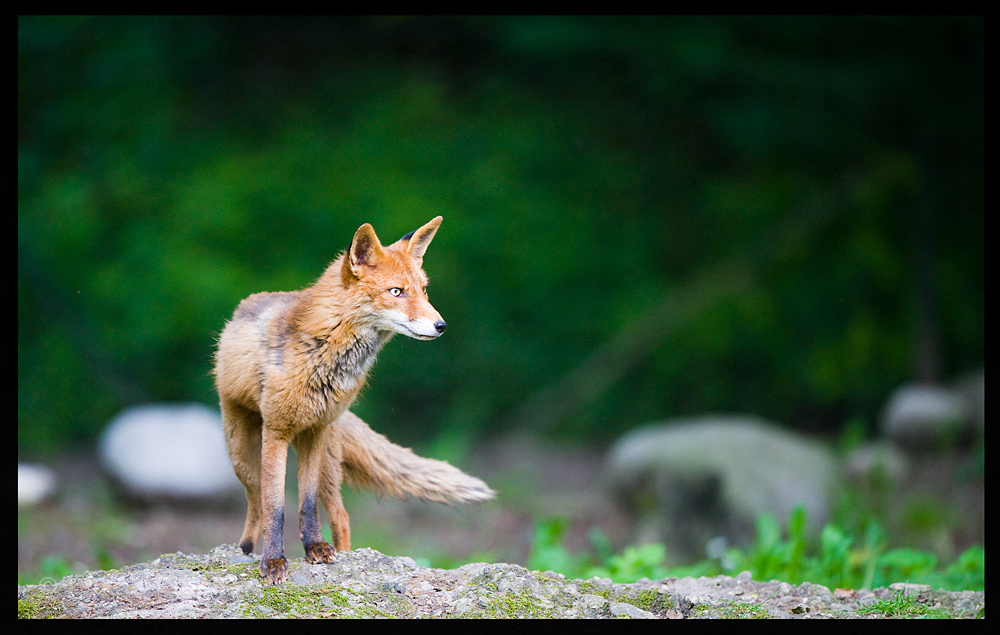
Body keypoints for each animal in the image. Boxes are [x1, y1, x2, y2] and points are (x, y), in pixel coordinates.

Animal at [213, 219, 494, 588]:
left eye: (423, 290)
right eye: (396, 292)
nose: (441, 325)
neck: (324, 355)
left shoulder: (314, 432)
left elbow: (307, 505)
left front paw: (315, 548)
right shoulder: (276, 432)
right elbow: (275, 508)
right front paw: (273, 562)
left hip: (327, 463)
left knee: (340, 516)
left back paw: (340, 552)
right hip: (242, 454)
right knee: (256, 501)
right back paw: (246, 548)